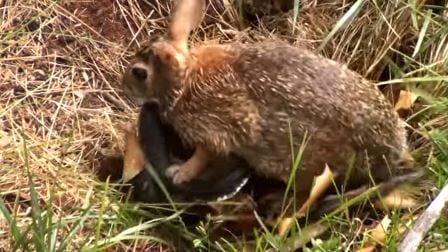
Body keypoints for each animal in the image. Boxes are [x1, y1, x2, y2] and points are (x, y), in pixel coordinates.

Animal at [121, 0, 416, 217]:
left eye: (139, 73)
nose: (124, 86)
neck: (184, 80)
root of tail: (392, 152)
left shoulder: (215, 129)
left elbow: (203, 156)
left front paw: (179, 173)